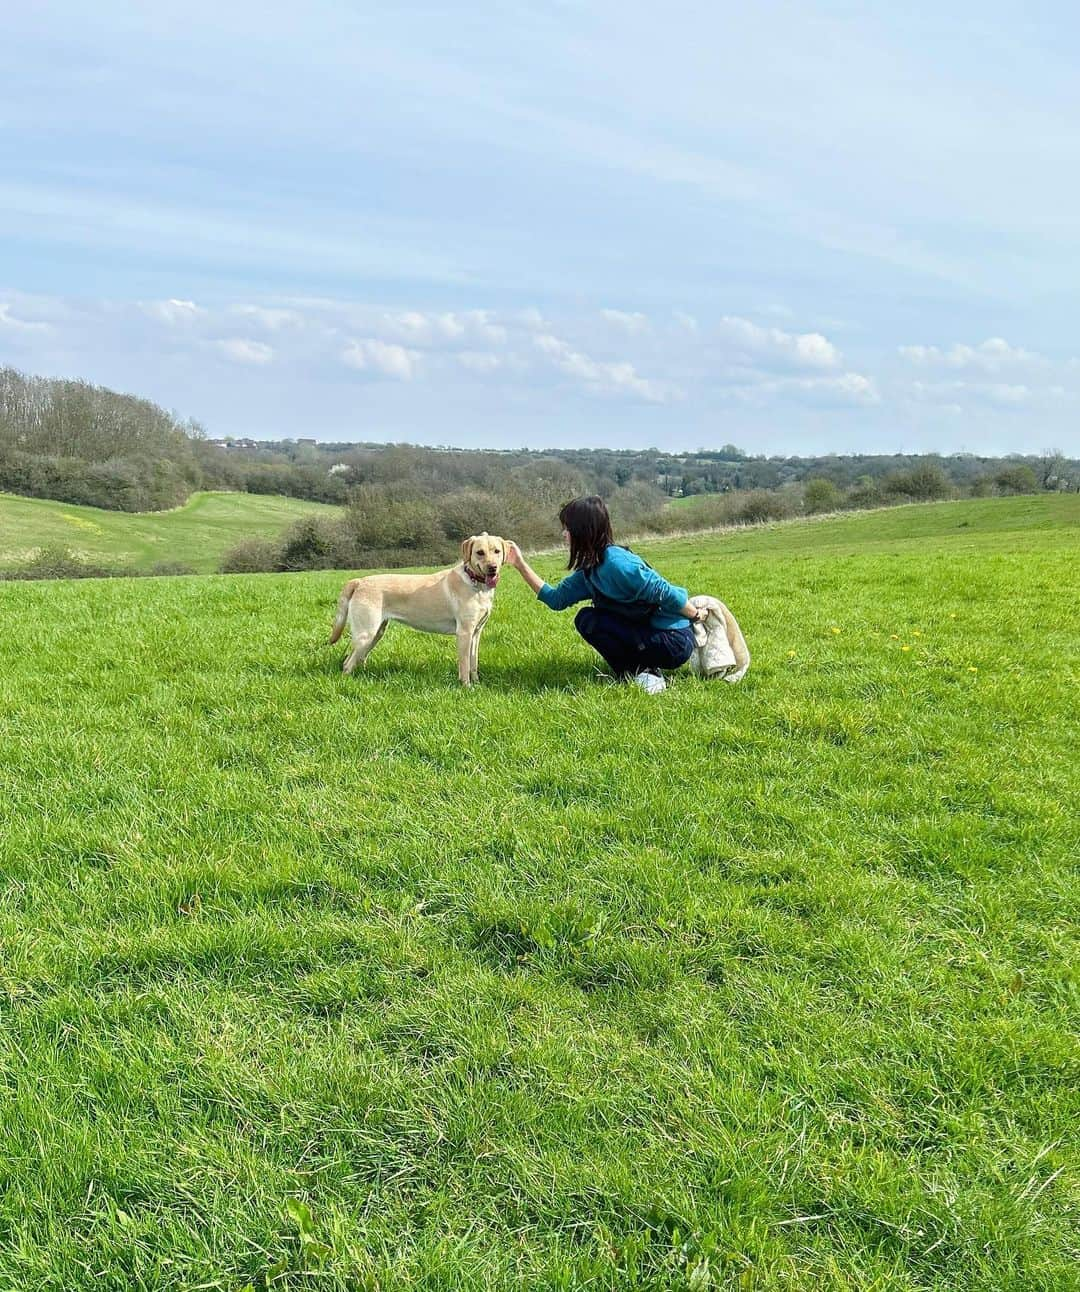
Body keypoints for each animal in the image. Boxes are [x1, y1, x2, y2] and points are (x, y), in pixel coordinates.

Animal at [326, 532, 508, 687]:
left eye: (497, 551)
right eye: (480, 552)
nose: (493, 567)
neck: (476, 584)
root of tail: (359, 581)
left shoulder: (476, 632)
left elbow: (473, 662)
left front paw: (477, 683)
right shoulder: (464, 632)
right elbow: (464, 665)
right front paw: (466, 687)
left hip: (377, 633)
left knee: (358, 658)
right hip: (366, 633)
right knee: (347, 663)